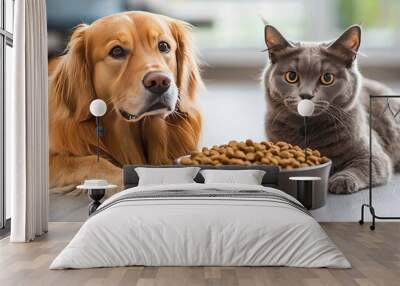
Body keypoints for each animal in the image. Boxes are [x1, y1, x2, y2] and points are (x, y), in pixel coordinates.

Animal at [262, 25, 400, 194]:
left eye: (327, 78)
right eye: (291, 76)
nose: (306, 95)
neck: (307, 131)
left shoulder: (372, 154)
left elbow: (362, 166)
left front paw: (342, 180)